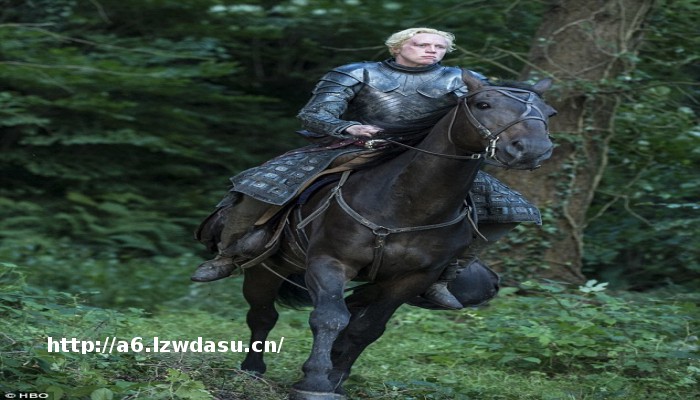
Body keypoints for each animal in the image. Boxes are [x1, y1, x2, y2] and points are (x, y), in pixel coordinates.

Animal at [236, 71, 556, 399]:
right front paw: (315, 383)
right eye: (483, 104)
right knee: (263, 313)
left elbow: (367, 328)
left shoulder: (412, 279)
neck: (407, 203)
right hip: (265, 267)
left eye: (549, 113)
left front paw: (335, 377)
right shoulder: (330, 262)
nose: (532, 149)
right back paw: (252, 369)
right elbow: (329, 317)